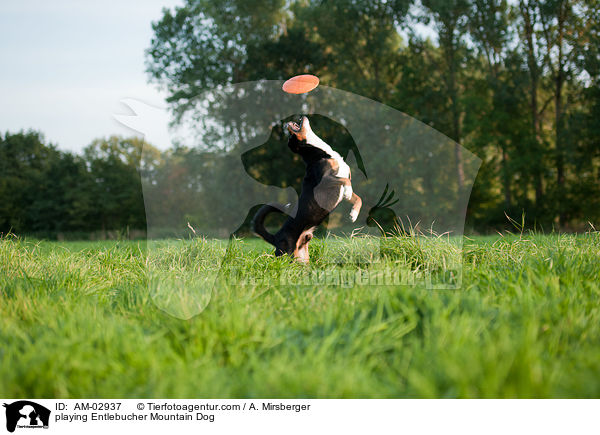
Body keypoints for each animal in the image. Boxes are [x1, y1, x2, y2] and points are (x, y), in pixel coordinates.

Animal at [253, 116, 360, 262]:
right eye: (291, 136)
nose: (293, 119)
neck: (318, 153)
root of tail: (275, 237)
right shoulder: (326, 180)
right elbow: (346, 181)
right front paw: (349, 193)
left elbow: (358, 199)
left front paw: (354, 214)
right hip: (287, 256)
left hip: (303, 259)